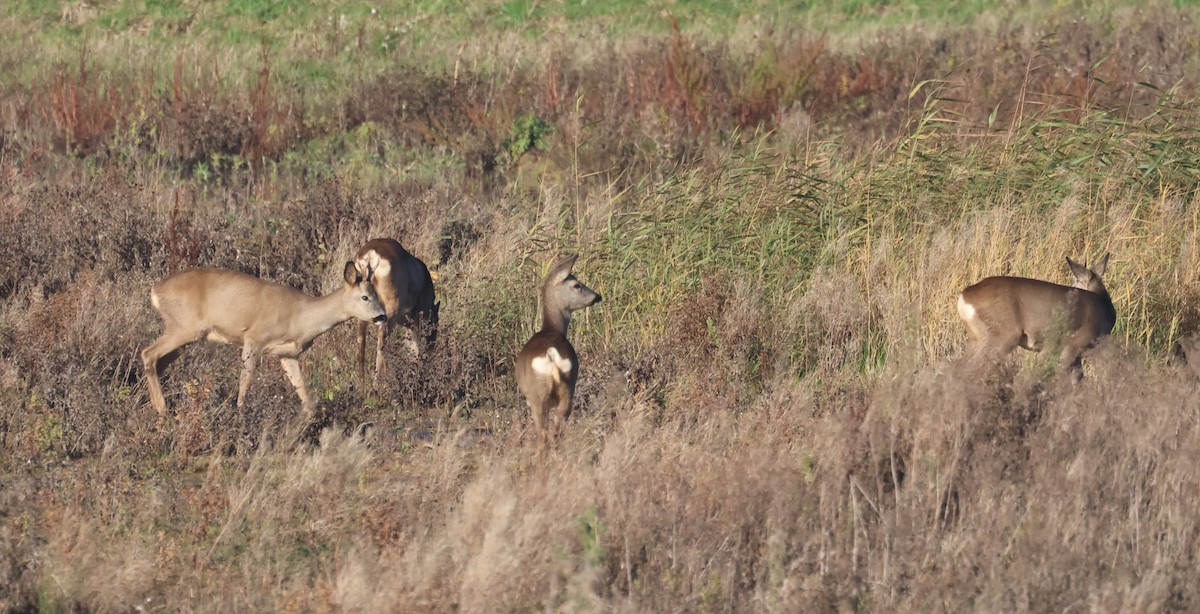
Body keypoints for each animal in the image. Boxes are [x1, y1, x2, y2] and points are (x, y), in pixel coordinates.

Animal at [142, 262, 387, 417]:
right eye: (365, 297)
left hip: (183, 335)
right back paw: (162, 410)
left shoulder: (287, 354)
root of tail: (155, 290)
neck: (301, 318)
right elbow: (245, 381)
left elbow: (303, 392)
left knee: (157, 361)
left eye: (377, 294)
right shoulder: (254, 338)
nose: (382, 316)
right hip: (184, 327)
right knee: (148, 353)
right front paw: (241, 413)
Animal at [514, 255, 602, 452]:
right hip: (567, 390)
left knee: (544, 436)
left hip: (539, 397)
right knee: (556, 433)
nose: (597, 296)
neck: (551, 328)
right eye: (577, 285)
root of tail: (551, 354)